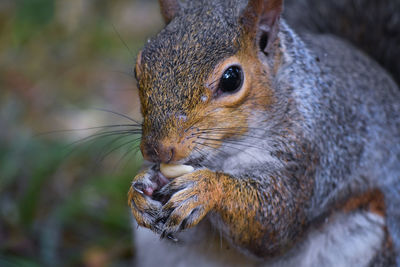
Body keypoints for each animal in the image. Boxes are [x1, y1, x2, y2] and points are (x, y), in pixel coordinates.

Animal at [126, 1, 398, 266]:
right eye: (138, 70)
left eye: (232, 78)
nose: (157, 149)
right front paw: (141, 190)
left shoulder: (311, 153)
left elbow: (276, 224)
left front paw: (205, 188)